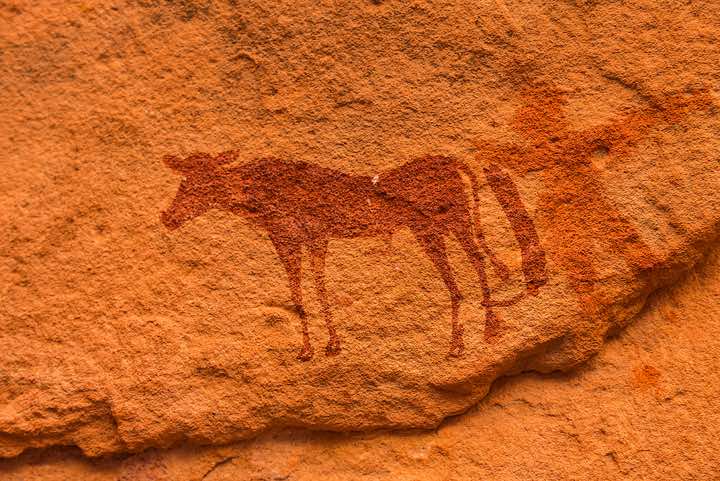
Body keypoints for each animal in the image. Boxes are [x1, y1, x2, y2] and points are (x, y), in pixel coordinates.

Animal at [160, 151, 546, 360]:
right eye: (183, 182)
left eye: (201, 184)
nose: (168, 217)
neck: (260, 195)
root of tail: (454, 161)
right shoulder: (285, 241)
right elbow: (296, 296)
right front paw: (307, 350)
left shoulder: (316, 235)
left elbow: (318, 289)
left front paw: (331, 345)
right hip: (431, 229)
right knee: (459, 278)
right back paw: (460, 343)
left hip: (454, 220)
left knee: (476, 261)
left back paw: (489, 328)